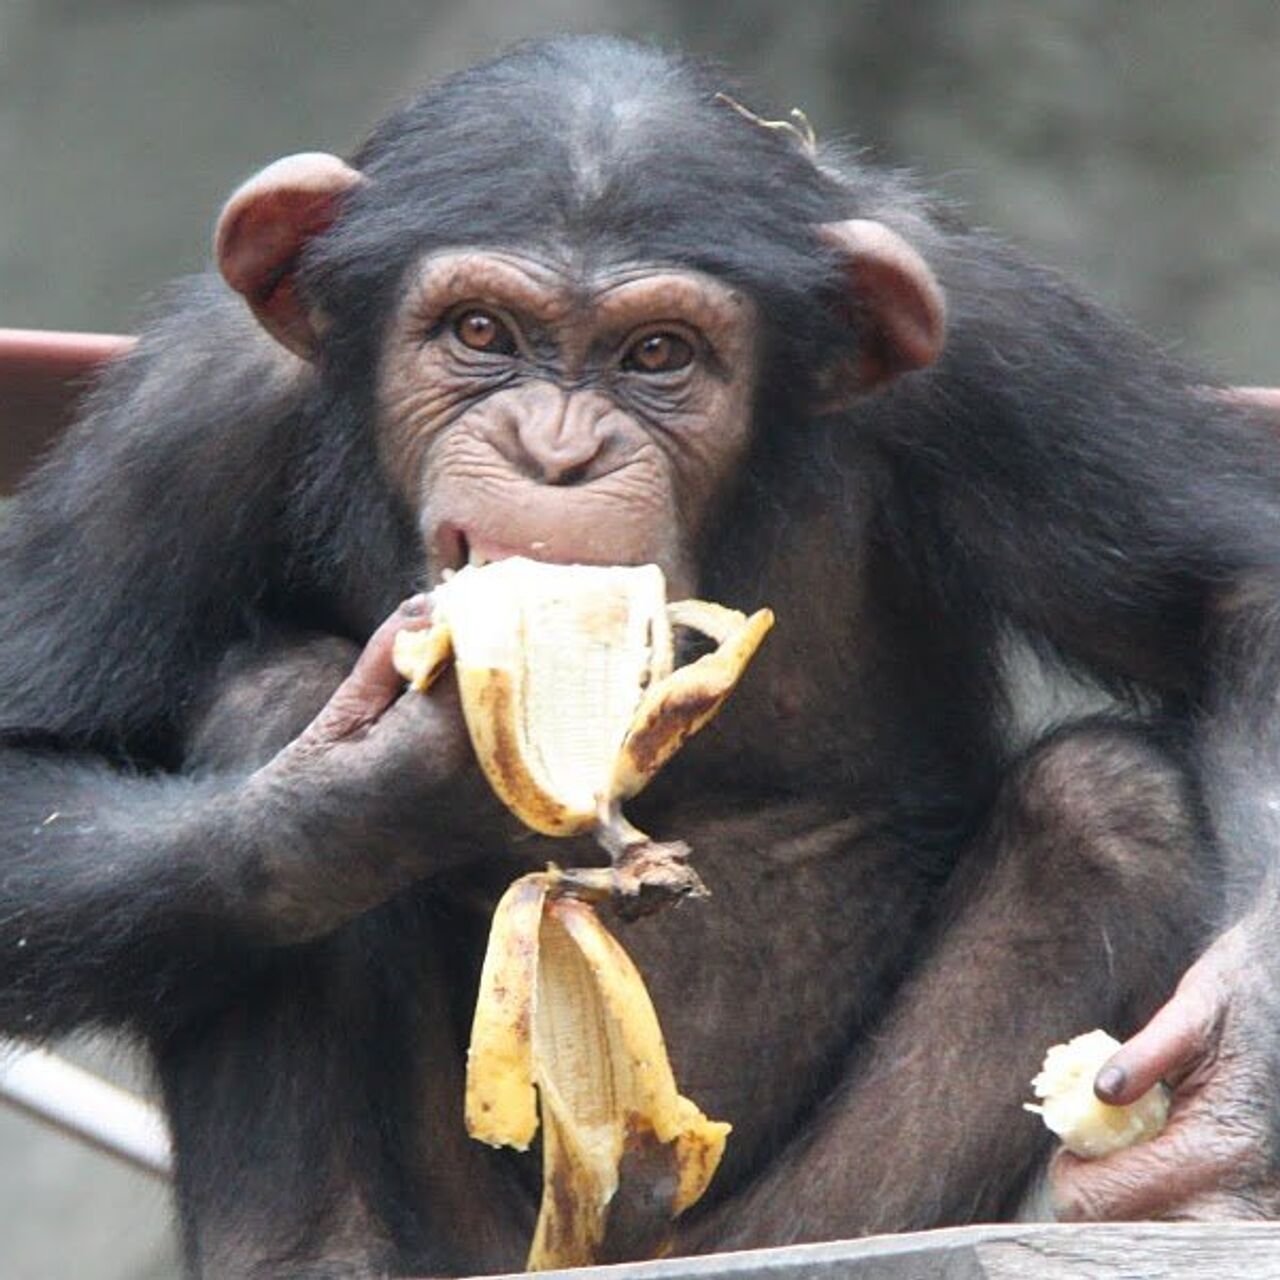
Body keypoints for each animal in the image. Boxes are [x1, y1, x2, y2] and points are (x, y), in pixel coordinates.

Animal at [2, 35, 1280, 1274]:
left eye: (657, 352)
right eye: (479, 332)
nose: (556, 449)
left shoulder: (1002, 356)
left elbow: (1231, 589)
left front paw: (1232, 1080)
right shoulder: (186, 418)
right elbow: (34, 761)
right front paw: (372, 792)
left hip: (797, 1220)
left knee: (1108, 802)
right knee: (270, 699)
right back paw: (313, 1252)